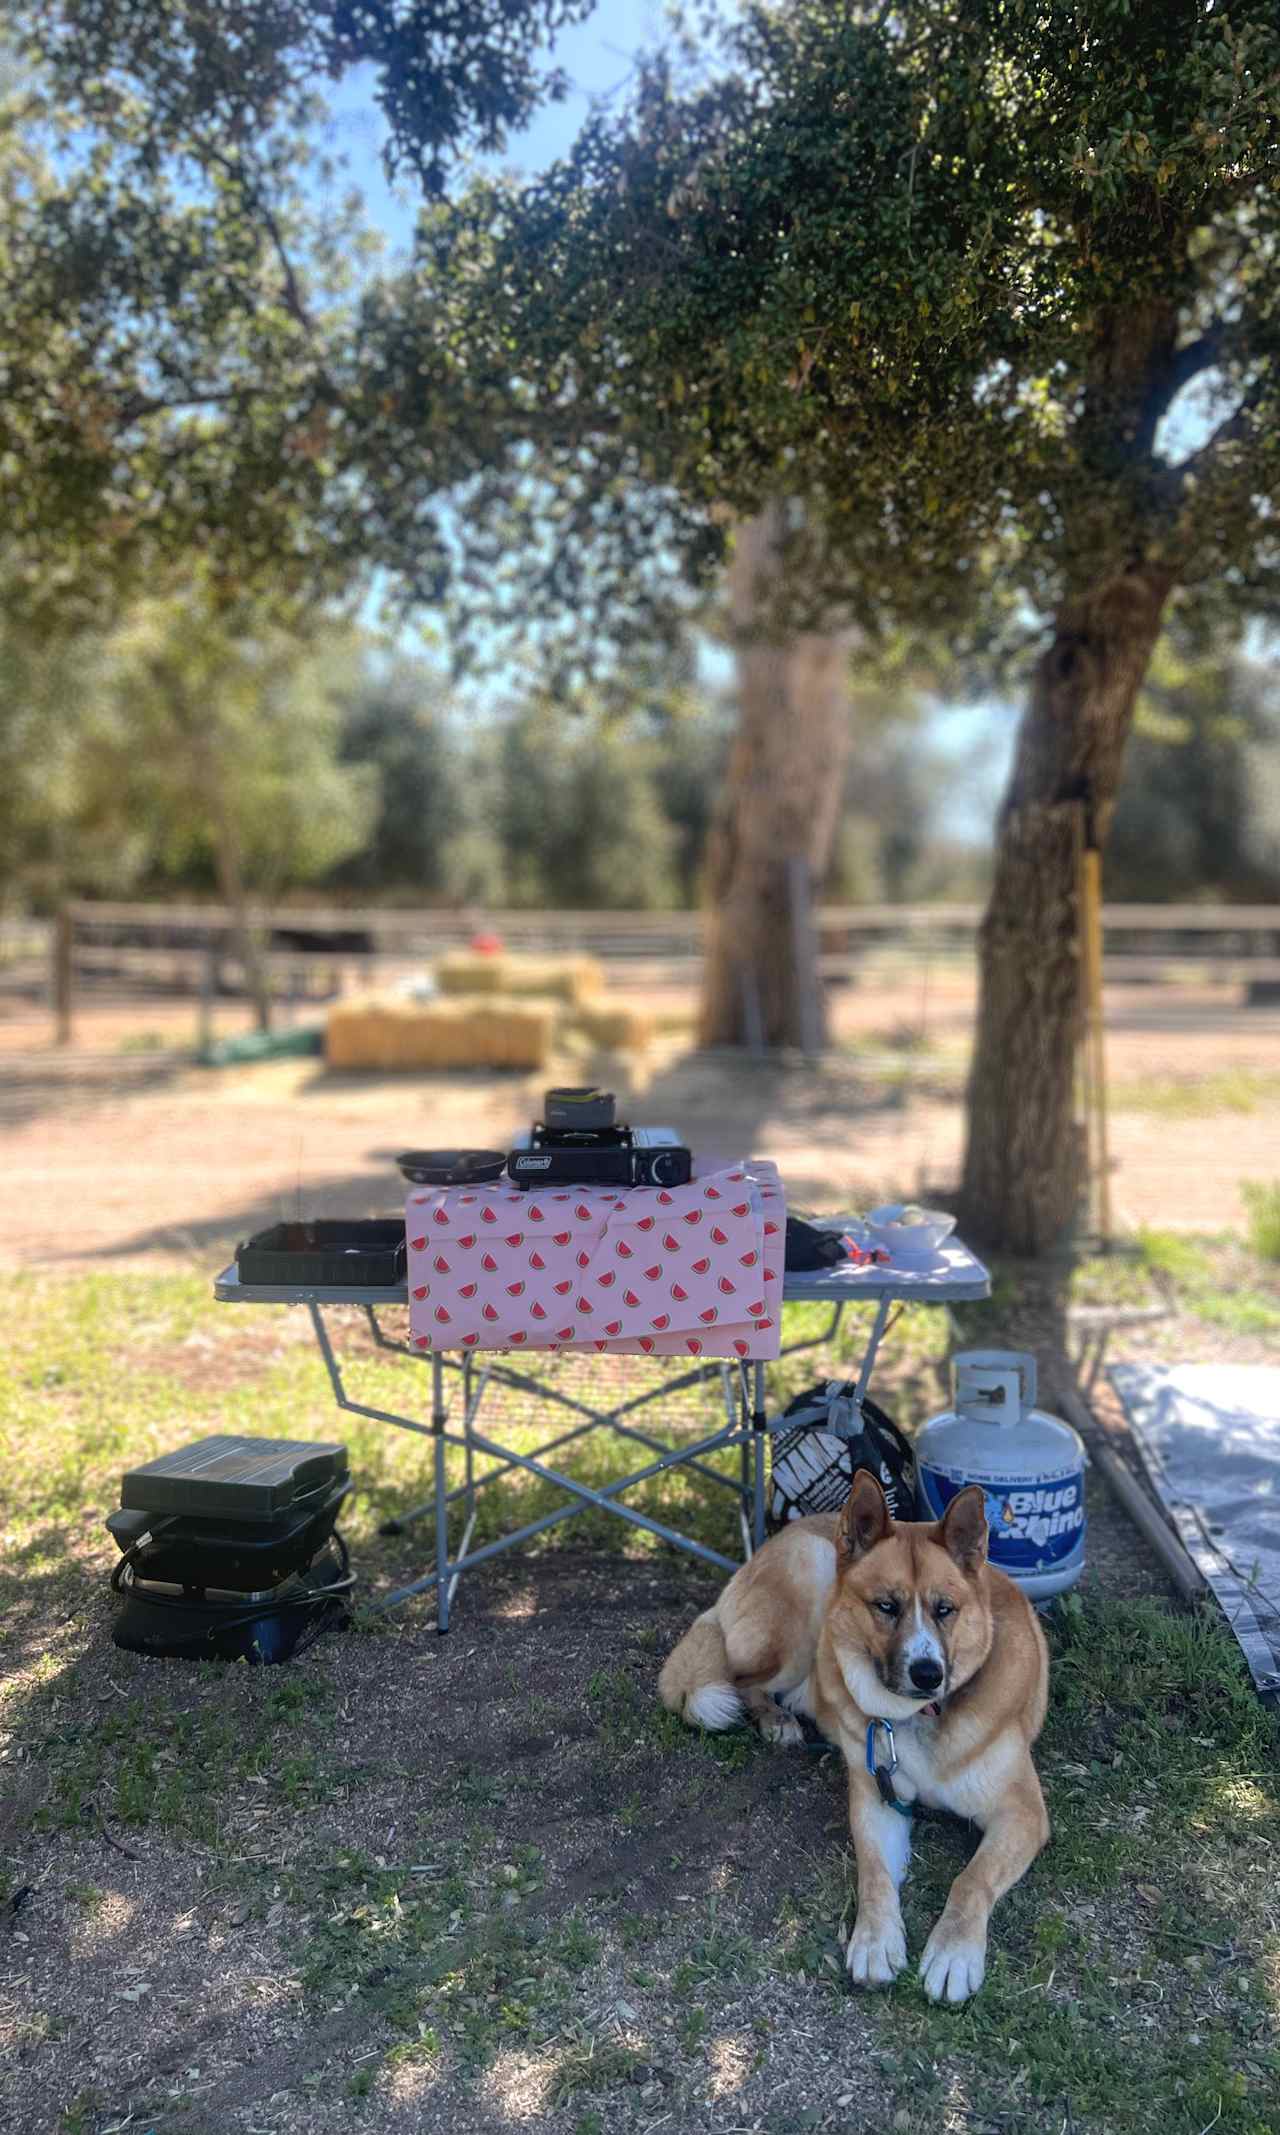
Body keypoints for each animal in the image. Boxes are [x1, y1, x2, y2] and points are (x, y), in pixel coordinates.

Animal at [661, 1468, 1049, 1998]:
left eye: (945, 1609)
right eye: (885, 1606)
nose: (927, 1673)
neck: (918, 1717)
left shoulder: (1022, 1814)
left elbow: (971, 1880)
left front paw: (953, 1951)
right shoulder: (876, 1801)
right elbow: (874, 1875)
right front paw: (874, 1940)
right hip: (811, 1578)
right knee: (744, 1680)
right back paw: (777, 1719)